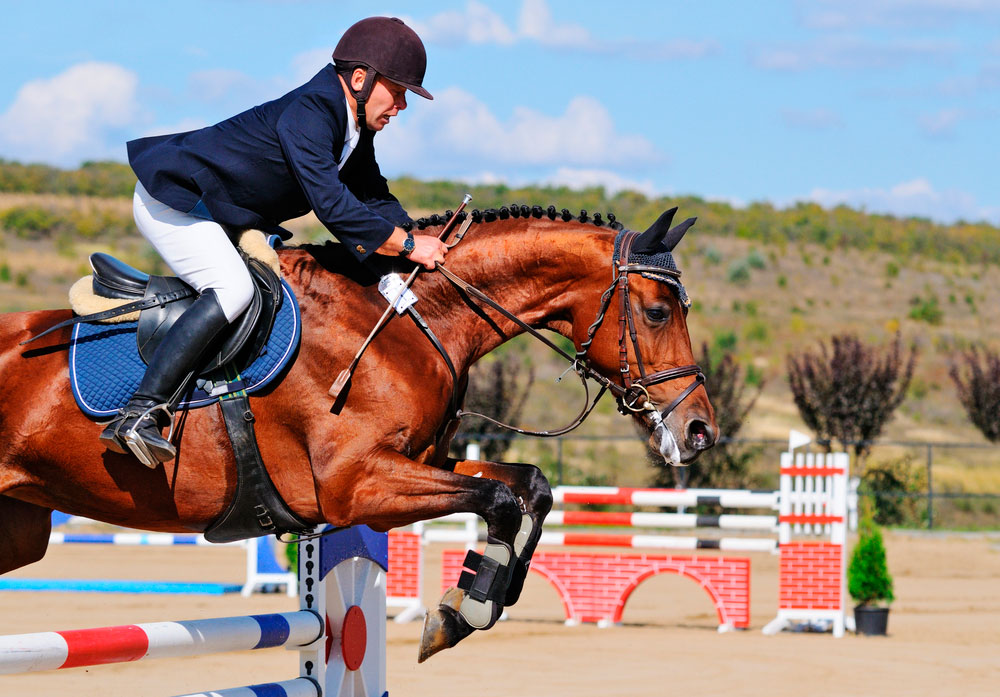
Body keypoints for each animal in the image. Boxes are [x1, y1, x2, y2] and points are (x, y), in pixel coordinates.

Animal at [1, 204, 720, 660]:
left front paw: (466, 606)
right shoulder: (357, 486)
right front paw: (467, 607)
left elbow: (531, 489)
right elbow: (502, 498)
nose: (699, 430)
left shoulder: (423, 460)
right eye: (658, 312)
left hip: (20, 527)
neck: (414, 317)